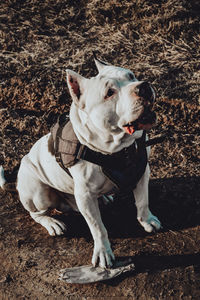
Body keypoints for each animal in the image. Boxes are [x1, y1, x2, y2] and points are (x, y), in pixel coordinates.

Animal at [0, 57, 160, 268]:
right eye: (109, 93)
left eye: (131, 75)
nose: (143, 86)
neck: (118, 147)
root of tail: (17, 183)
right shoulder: (84, 195)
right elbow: (98, 227)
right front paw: (103, 252)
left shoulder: (142, 170)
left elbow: (143, 200)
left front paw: (147, 220)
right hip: (39, 193)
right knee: (36, 213)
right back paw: (52, 223)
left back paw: (104, 198)